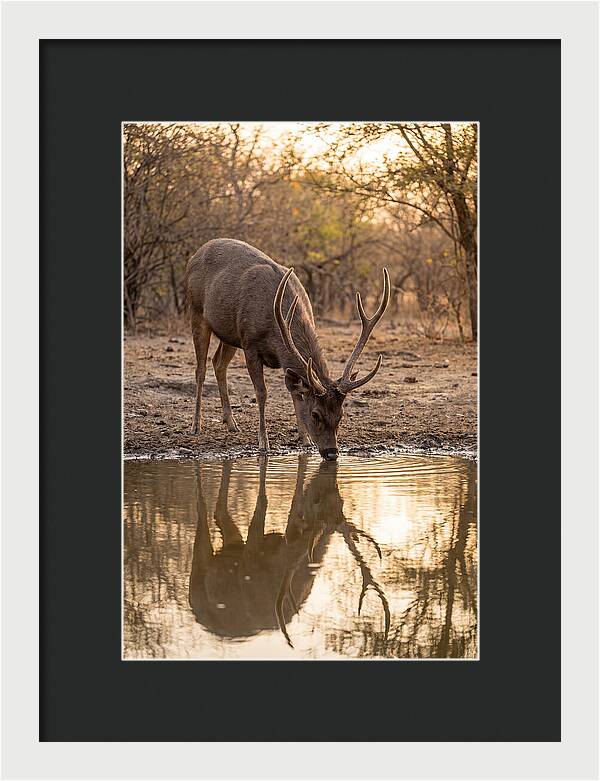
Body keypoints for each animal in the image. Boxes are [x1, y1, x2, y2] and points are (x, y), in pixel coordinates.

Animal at [184, 238, 390, 460]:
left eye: (341, 415)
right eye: (315, 414)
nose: (332, 453)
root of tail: (195, 254)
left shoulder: (281, 357)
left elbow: (295, 393)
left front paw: (305, 439)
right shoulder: (250, 344)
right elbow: (262, 392)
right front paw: (263, 443)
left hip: (229, 333)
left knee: (218, 363)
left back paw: (231, 423)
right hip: (196, 311)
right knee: (201, 369)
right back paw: (196, 425)